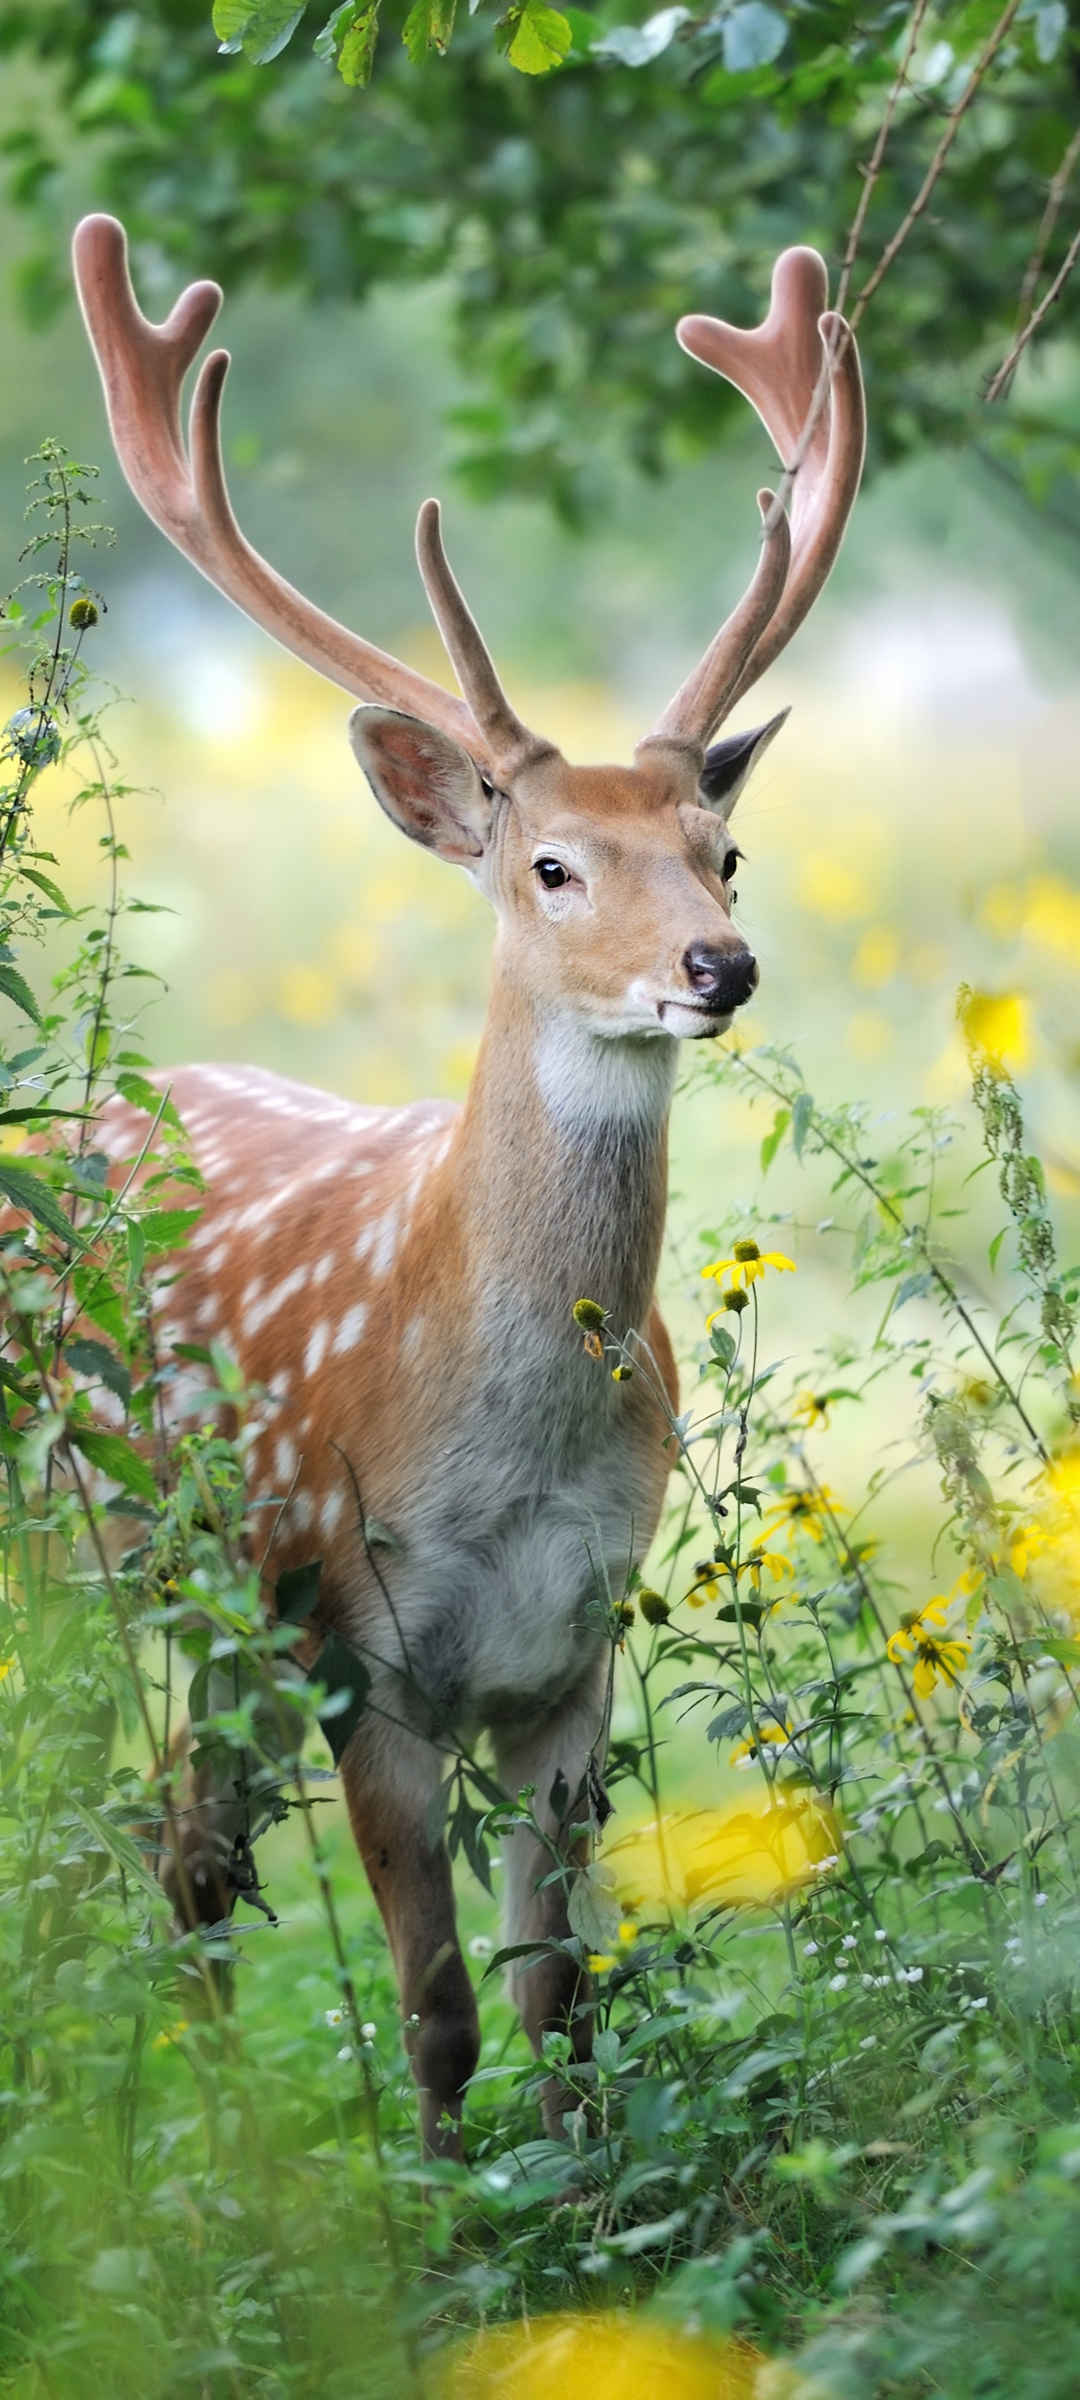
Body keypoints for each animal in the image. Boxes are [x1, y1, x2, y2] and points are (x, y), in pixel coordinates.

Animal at [69, 220, 859, 2160]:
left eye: (726, 848)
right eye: (553, 864)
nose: (720, 965)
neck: (499, 1455)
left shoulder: (574, 1657)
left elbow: (560, 1998)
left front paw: (576, 2208)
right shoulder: (362, 1640)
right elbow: (436, 2007)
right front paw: (435, 2212)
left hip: (225, 1628)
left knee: (188, 1856)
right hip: (113, 1562)